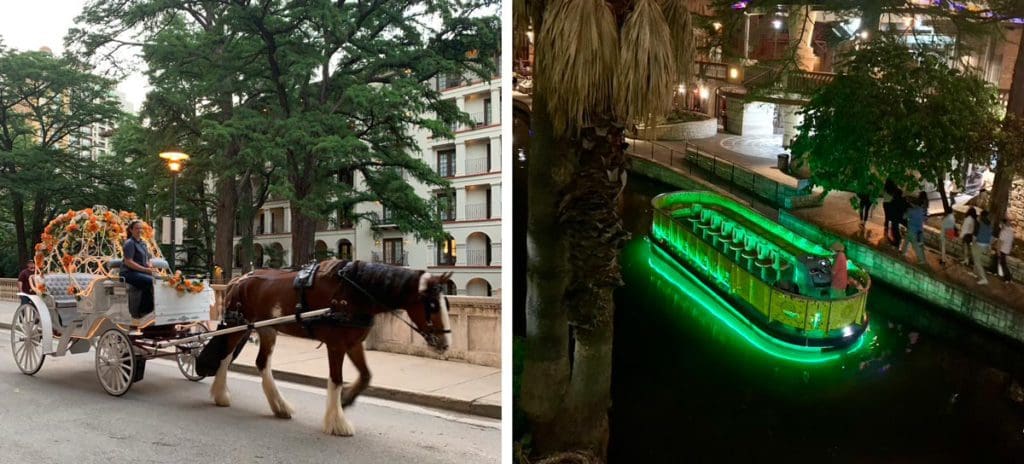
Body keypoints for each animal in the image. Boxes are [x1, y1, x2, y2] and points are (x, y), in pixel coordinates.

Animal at [205, 258, 450, 436]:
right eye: (432, 305)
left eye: (445, 303)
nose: (445, 343)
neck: (354, 292)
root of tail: (238, 279)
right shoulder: (336, 345)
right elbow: (336, 380)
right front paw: (337, 421)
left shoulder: (353, 343)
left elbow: (366, 375)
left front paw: (347, 398)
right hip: (237, 325)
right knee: (225, 357)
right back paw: (221, 394)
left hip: (266, 329)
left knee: (262, 363)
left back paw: (279, 405)